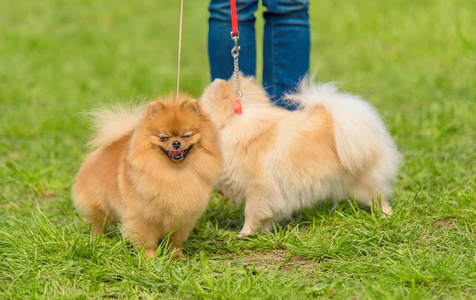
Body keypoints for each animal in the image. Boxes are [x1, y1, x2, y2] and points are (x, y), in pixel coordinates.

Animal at [72, 96, 223, 258]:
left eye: (186, 135)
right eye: (164, 137)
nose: (176, 143)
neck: (175, 173)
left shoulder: (182, 219)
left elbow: (175, 241)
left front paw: (177, 257)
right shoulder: (143, 218)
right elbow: (147, 241)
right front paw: (150, 258)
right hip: (100, 205)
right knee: (98, 223)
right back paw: (99, 240)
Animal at [201, 75, 402, 237]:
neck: (232, 125)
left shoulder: (258, 189)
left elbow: (251, 213)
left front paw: (245, 233)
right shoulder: (270, 194)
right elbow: (267, 215)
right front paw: (264, 232)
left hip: (361, 183)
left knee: (378, 198)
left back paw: (386, 216)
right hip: (340, 181)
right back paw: (336, 210)